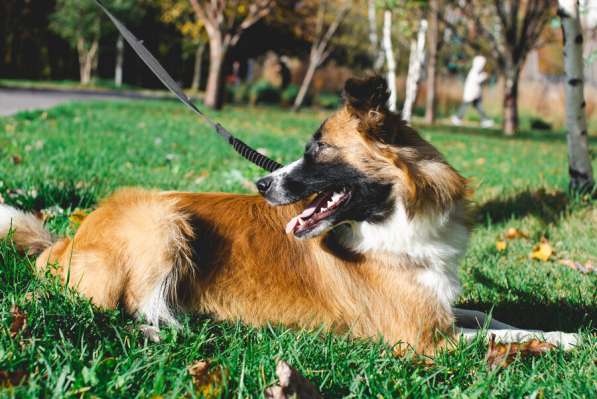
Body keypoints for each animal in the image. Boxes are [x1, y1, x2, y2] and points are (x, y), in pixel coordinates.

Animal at [0, 76, 576, 354]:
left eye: (317, 150)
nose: (261, 182)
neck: (392, 220)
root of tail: (67, 240)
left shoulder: (436, 306)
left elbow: (493, 318)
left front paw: (555, 329)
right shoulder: (421, 338)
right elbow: (502, 337)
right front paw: (567, 342)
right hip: (162, 221)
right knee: (131, 306)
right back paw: (179, 326)